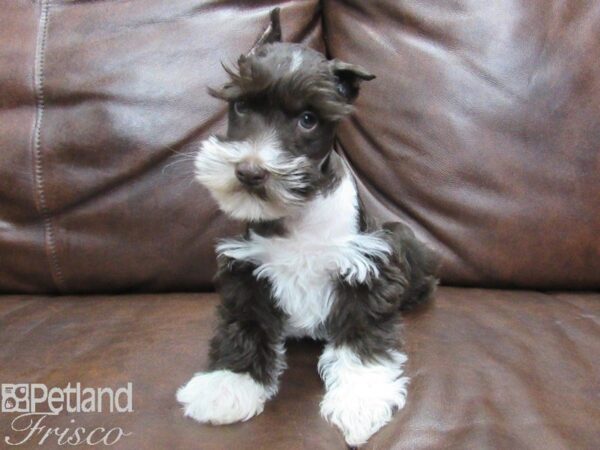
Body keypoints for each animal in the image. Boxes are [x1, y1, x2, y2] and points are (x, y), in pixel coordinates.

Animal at [176, 8, 438, 448]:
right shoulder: (247, 272)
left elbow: (361, 340)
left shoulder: (364, 275)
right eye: (241, 106)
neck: (298, 216)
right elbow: (243, 326)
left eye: (308, 119)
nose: (249, 172)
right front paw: (228, 384)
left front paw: (360, 403)